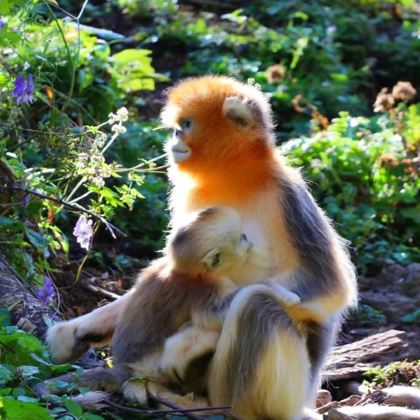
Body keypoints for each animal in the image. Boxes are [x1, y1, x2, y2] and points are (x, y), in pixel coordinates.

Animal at [47, 76, 356, 420]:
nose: (174, 137)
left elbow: (328, 288)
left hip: (290, 391)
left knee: (257, 303)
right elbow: (173, 263)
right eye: (177, 126)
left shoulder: (288, 197)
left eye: (186, 125)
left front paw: (187, 342)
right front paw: (75, 332)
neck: (237, 177)